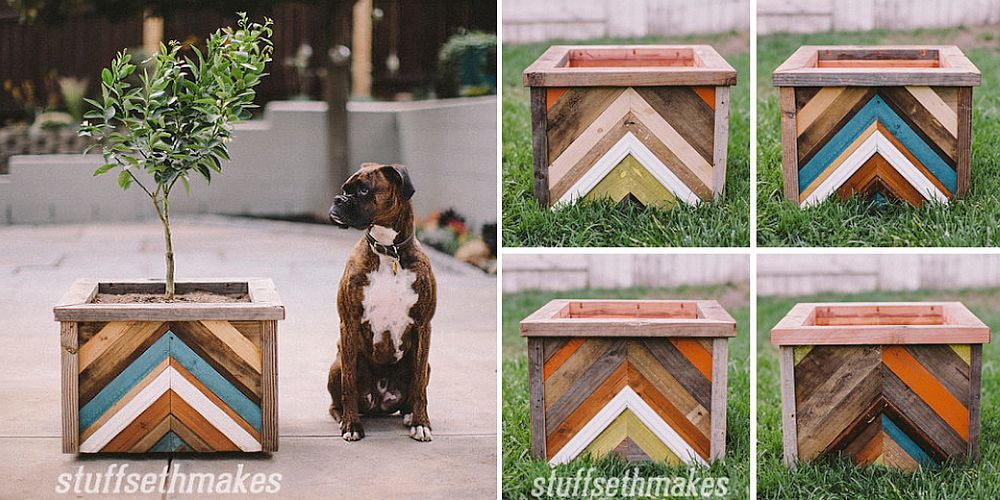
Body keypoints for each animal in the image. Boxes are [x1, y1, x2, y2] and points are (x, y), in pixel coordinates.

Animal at [328, 163, 438, 442]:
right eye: (345, 189)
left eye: (363, 190)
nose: (338, 199)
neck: (389, 252)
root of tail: (378, 402)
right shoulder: (348, 323)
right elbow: (348, 384)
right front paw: (351, 425)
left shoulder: (423, 326)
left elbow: (419, 386)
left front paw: (421, 423)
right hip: (336, 365)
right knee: (338, 399)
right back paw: (342, 417)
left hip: (426, 364)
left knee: (414, 389)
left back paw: (409, 415)